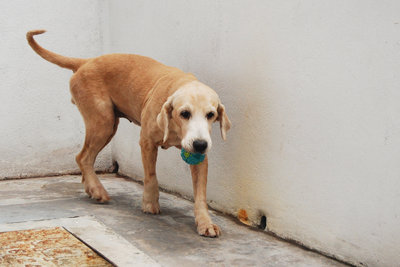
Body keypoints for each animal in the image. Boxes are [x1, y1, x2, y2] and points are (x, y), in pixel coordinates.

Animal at [26, 30, 231, 238]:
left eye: (211, 115)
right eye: (184, 113)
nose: (200, 144)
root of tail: (86, 62)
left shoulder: (200, 157)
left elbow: (200, 194)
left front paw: (205, 222)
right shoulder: (147, 142)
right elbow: (151, 176)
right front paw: (150, 203)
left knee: (85, 159)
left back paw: (90, 187)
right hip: (104, 123)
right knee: (83, 157)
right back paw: (97, 189)